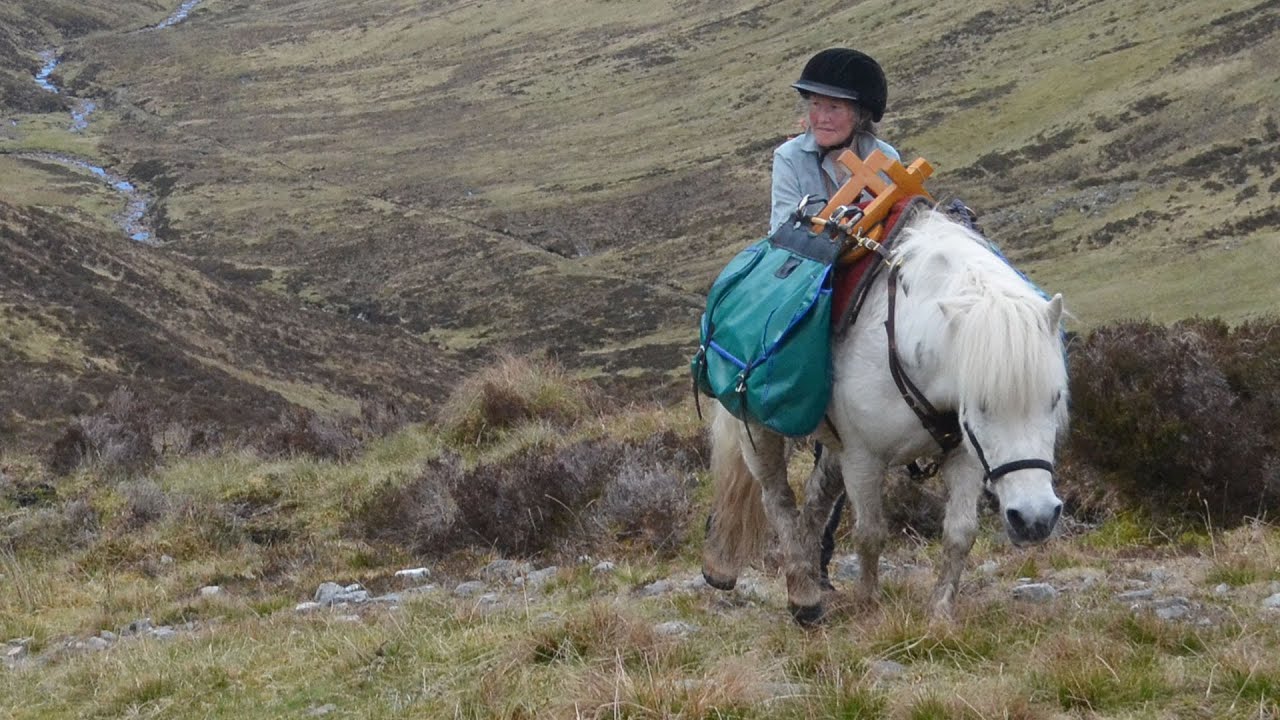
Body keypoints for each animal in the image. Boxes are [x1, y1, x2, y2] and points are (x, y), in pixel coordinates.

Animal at [701, 210, 1070, 620]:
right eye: (982, 405)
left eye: (1054, 399)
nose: (1035, 519)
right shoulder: (863, 458)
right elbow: (870, 533)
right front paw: (867, 602)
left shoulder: (966, 455)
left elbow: (960, 533)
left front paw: (940, 613)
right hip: (758, 428)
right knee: (777, 499)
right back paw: (803, 595)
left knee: (815, 499)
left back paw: (812, 575)